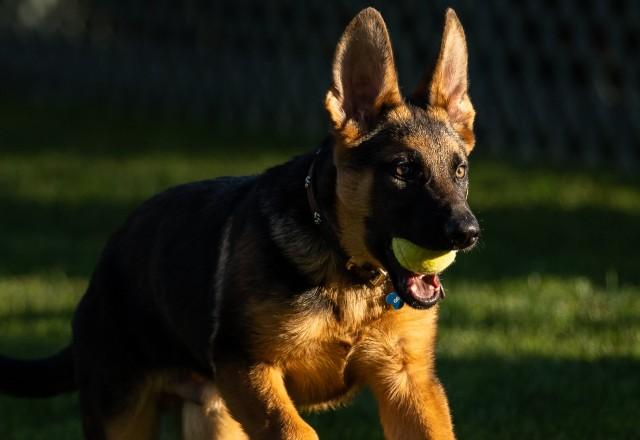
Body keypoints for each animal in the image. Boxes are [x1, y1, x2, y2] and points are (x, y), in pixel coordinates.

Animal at [0, 6, 480, 440]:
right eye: (403, 170)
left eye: (460, 170)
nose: (468, 233)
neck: (346, 273)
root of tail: (100, 275)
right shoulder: (248, 368)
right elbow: (297, 430)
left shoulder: (407, 383)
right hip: (125, 417)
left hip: (217, 417)